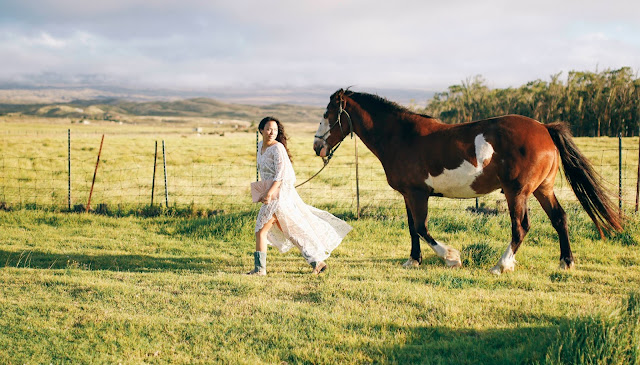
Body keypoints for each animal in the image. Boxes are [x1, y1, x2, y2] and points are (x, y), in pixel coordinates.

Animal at [312, 87, 624, 272]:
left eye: (328, 114)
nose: (317, 147)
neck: (402, 136)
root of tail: (545, 128)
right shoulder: (408, 195)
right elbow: (413, 228)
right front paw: (413, 260)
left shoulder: (417, 194)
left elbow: (422, 228)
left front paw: (451, 257)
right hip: (542, 190)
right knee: (560, 218)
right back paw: (565, 262)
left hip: (517, 192)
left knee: (521, 227)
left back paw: (501, 265)